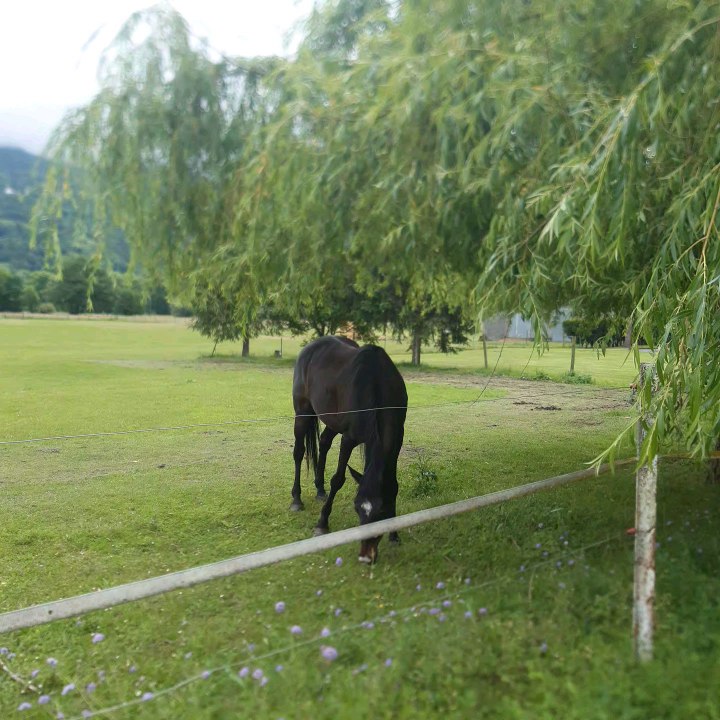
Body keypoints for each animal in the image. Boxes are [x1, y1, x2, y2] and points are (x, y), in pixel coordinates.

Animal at [291, 335, 408, 563]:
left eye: (381, 511)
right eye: (357, 508)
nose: (365, 557)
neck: (376, 385)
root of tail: (310, 348)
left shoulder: (397, 440)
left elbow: (393, 484)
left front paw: (394, 534)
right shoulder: (349, 439)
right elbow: (338, 479)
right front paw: (322, 523)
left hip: (332, 422)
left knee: (324, 443)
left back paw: (320, 489)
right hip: (302, 413)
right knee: (299, 453)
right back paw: (297, 499)